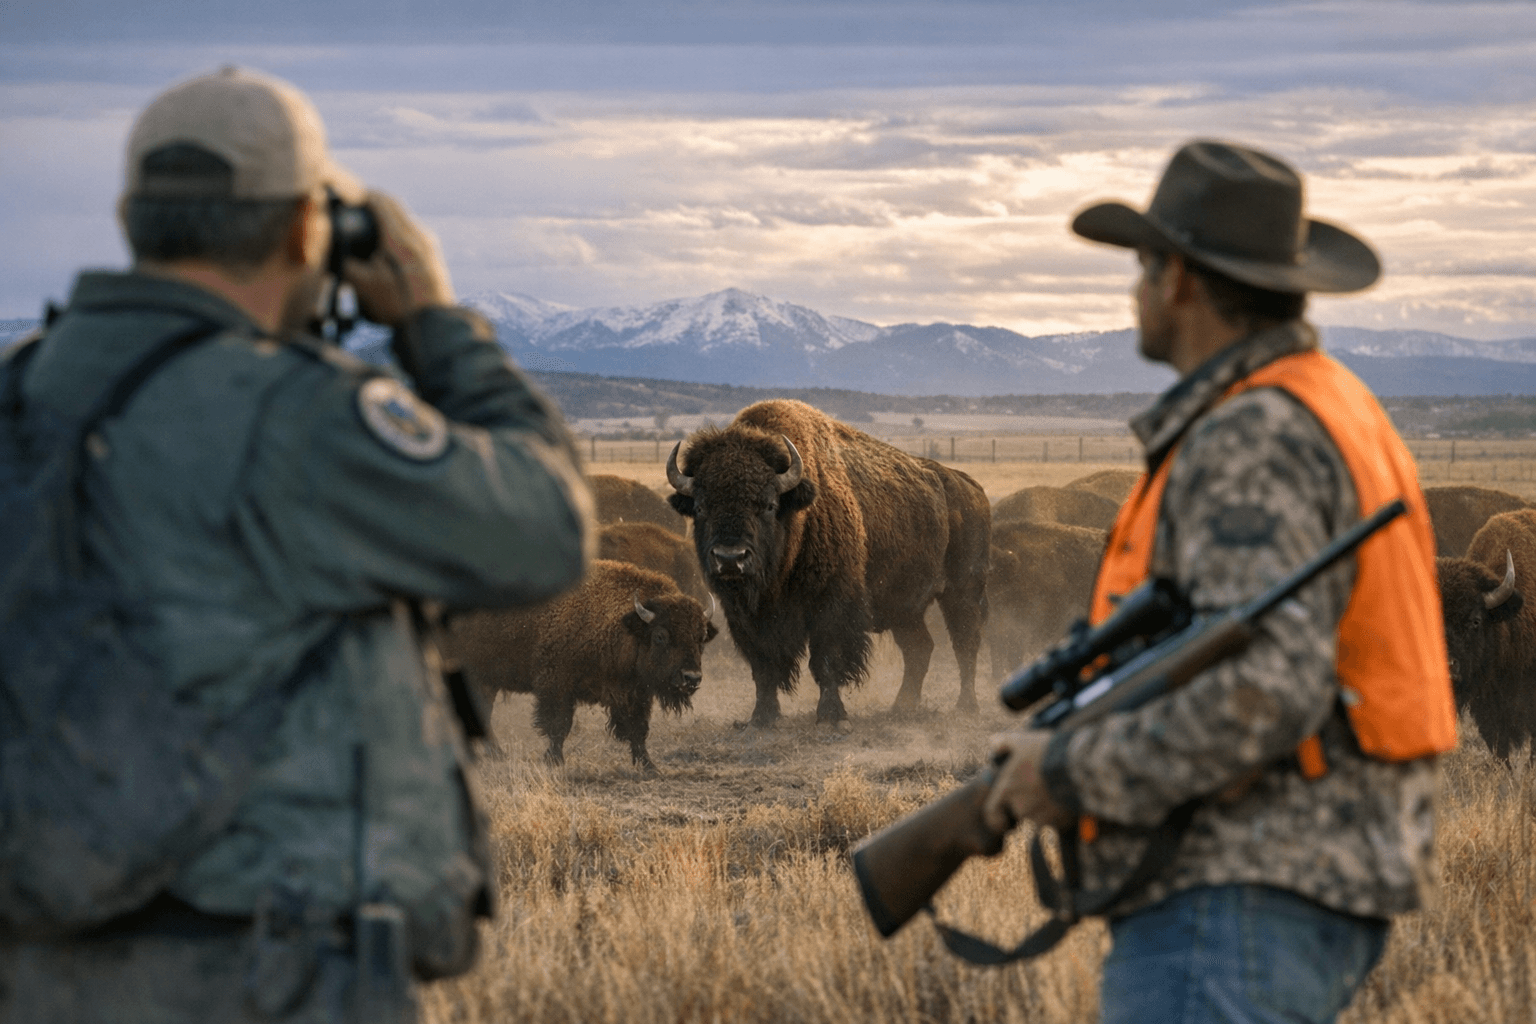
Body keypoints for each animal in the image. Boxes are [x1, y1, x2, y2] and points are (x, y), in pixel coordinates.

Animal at [446, 560, 717, 773]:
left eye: (701, 637)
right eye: (660, 636)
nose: (691, 678)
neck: (620, 624)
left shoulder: (634, 694)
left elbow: (638, 729)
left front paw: (650, 766)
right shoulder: (557, 686)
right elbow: (559, 726)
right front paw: (554, 761)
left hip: (484, 680)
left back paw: (494, 754)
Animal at [666, 399, 990, 725]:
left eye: (769, 505)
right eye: (700, 507)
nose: (730, 558)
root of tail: (970, 486)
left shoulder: (831, 605)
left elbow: (826, 661)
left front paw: (832, 716)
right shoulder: (745, 617)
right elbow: (763, 667)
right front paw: (761, 719)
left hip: (961, 592)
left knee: (965, 643)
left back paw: (966, 706)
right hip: (905, 609)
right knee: (919, 647)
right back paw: (902, 707)